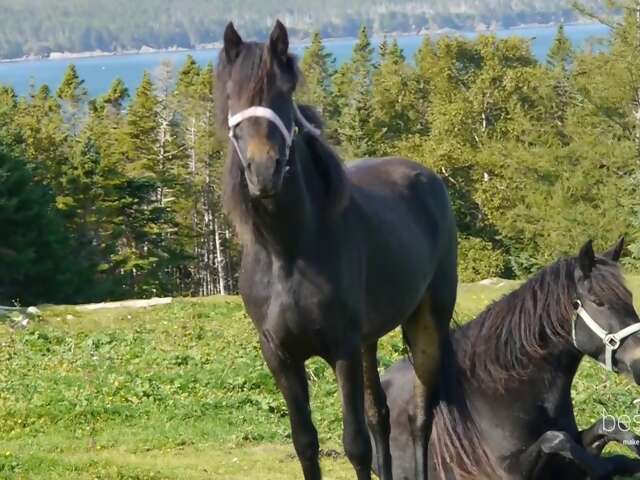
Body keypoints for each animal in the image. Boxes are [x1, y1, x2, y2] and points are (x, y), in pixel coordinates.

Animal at [215, 20, 493, 480]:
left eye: (283, 93)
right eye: (231, 95)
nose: (263, 171)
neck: (288, 253)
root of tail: (426, 177)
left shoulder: (341, 349)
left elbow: (355, 443)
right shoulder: (280, 356)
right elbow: (306, 443)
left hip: (426, 326)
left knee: (421, 416)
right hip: (369, 340)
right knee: (380, 413)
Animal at [374, 238, 640, 479]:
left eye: (630, 299)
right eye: (598, 301)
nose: (638, 363)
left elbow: (609, 425)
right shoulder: (506, 472)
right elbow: (556, 439)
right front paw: (603, 468)